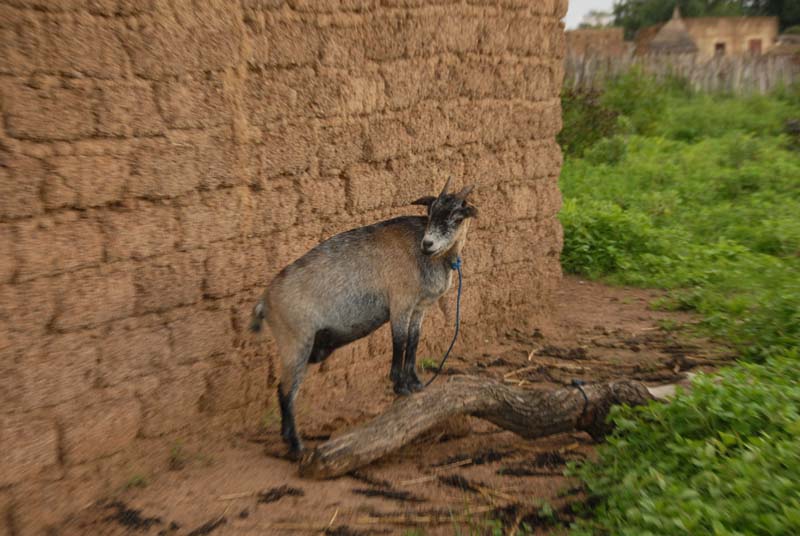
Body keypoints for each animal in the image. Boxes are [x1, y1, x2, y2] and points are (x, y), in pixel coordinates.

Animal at [248, 178, 476, 458]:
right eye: (430, 211)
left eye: (457, 216)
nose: (428, 244)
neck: (422, 254)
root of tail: (265, 301)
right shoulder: (400, 304)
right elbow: (399, 342)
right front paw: (400, 385)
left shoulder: (418, 308)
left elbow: (413, 342)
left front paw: (415, 384)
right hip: (295, 342)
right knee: (285, 392)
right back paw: (296, 446)